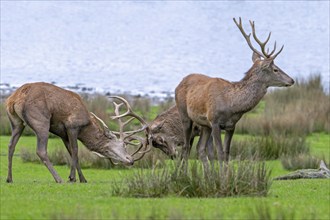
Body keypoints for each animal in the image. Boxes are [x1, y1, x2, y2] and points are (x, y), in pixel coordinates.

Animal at [6, 82, 150, 182]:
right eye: (123, 145)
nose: (131, 160)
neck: (86, 126)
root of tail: (13, 100)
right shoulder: (72, 126)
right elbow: (76, 150)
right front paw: (72, 178)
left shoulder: (63, 134)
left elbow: (71, 152)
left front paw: (83, 179)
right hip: (41, 121)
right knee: (41, 151)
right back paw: (59, 179)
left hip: (16, 123)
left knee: (11, 146)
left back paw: (9, 178)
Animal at [175, 17, 294, 167]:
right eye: (275, 69)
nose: (292, 80)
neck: (232, 105)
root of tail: (179, 83)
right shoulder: (214, 121)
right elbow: (220, 153)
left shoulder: (231, 125)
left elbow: (226, 154)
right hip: (184, 114)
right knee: (186, 147)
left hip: (204, 124)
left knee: (200, 148)